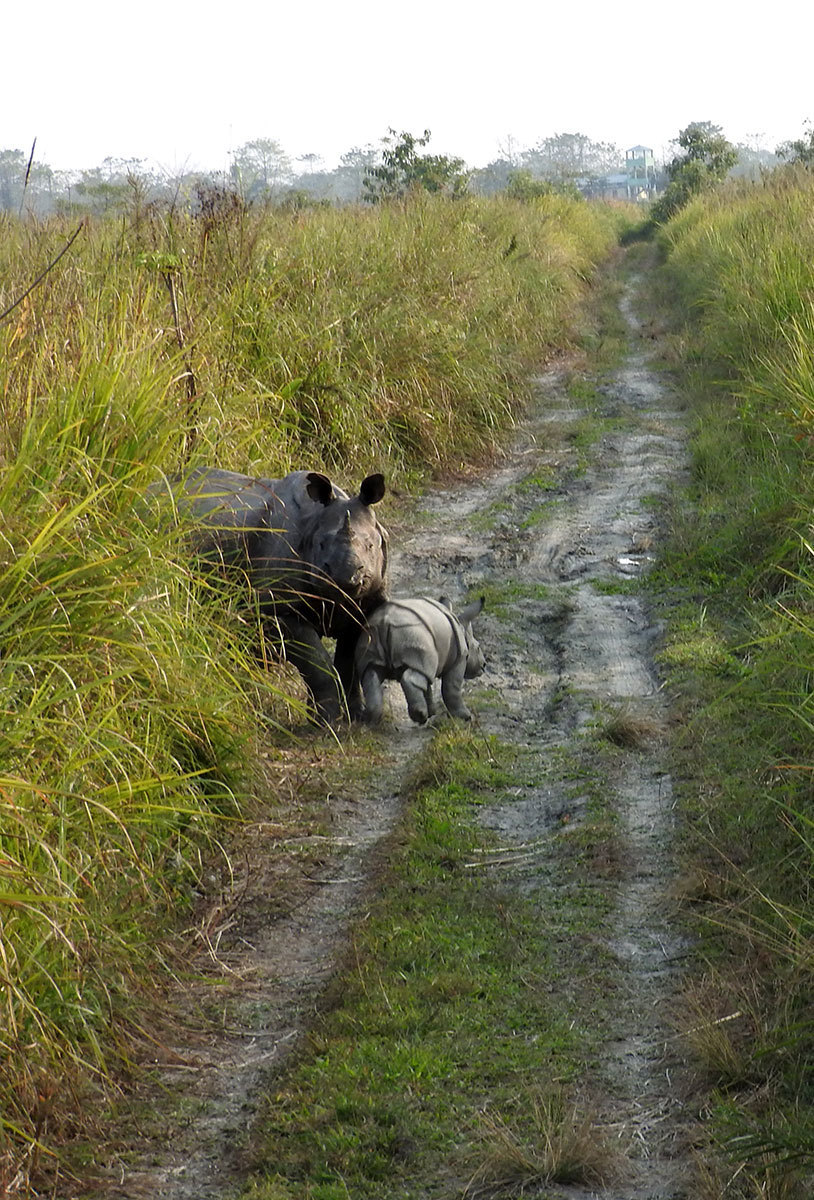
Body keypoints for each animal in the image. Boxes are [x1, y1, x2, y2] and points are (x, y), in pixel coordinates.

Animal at [157, 463, 396, 715]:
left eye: (371, 546)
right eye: (321, 545)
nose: (345, 577)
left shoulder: (366, 605)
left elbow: (348, 660)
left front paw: (353, 715)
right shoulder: (279, 611)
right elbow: (316, 663)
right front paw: (325, 718)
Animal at [355, 597, 485, 724]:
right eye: (478, 647)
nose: (484, 665)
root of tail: (384, 622)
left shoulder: (425, 663)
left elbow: (427, 689)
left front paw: (432, 712)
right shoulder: (459, 658)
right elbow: (452, 687)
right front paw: (466, 716)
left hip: (371, 635)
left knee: (371, 674)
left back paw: (370, 719)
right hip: (411, 633)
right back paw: (420, 716)